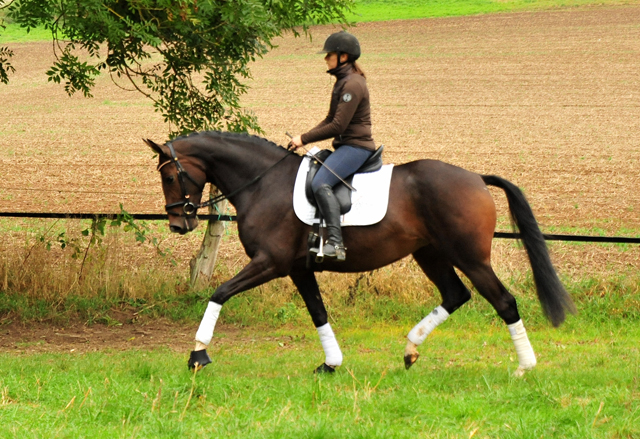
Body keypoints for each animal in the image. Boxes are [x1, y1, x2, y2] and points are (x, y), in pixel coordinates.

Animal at [146, 132, 576, 376]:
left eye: (168, 175)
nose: (178, 225)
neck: (263, 182)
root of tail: (474, 178)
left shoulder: (270, 262)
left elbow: (219, 293)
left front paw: (198, 355)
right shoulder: (298, 269)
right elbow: (318, 312)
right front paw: (330, 364)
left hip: (470, 257)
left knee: (504, 301)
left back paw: (524, 367)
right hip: (431, 254)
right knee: (456, 295)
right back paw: (410, 350)